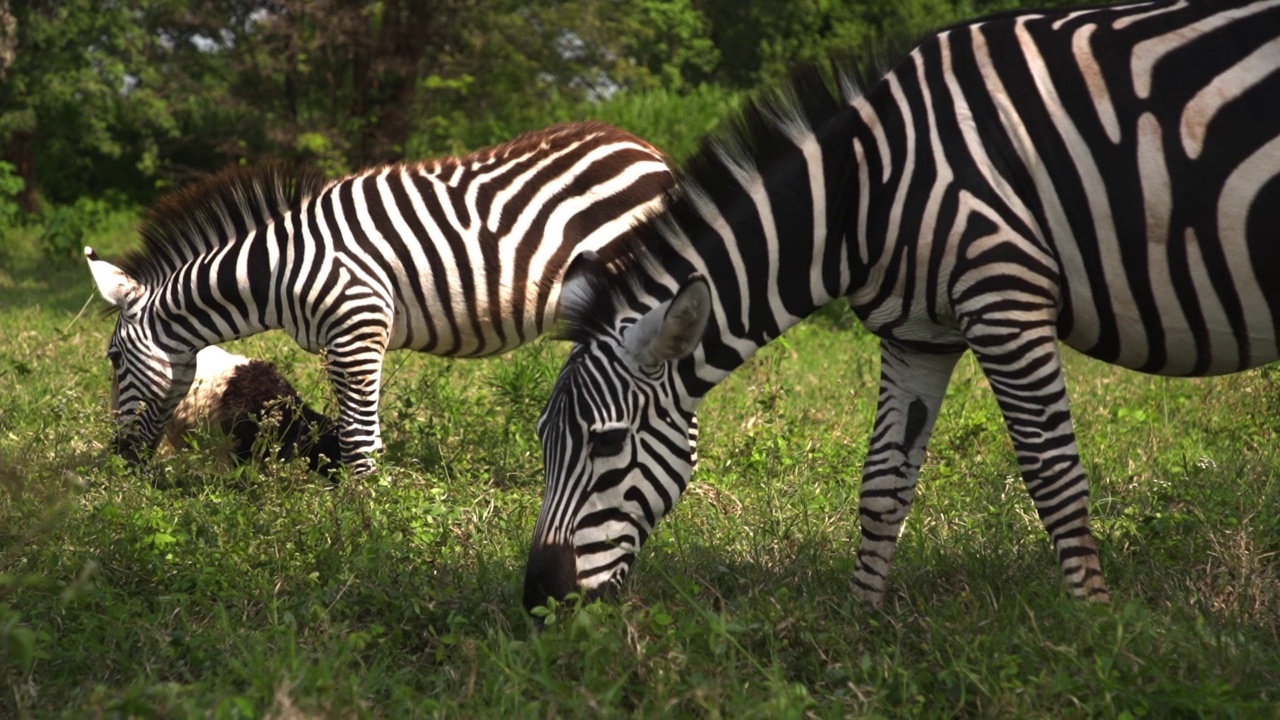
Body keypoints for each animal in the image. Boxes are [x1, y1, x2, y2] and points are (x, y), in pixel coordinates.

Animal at [85, 119, 675, 474]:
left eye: (113, 359)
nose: (118, 458)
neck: (274, 272)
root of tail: (644, 148)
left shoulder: (357, 329)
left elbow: (357, 438)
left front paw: (365, 525)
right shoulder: (343, 342)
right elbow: (358, 430)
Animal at [522, 0, 1280, 609]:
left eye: (608, 442)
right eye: (541, 441)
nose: (537, 599)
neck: (863, 190)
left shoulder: (1003, 295)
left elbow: (1054, 474)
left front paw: (1095, 627)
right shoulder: (918, 334)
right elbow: (882, 483)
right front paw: (858, 627)